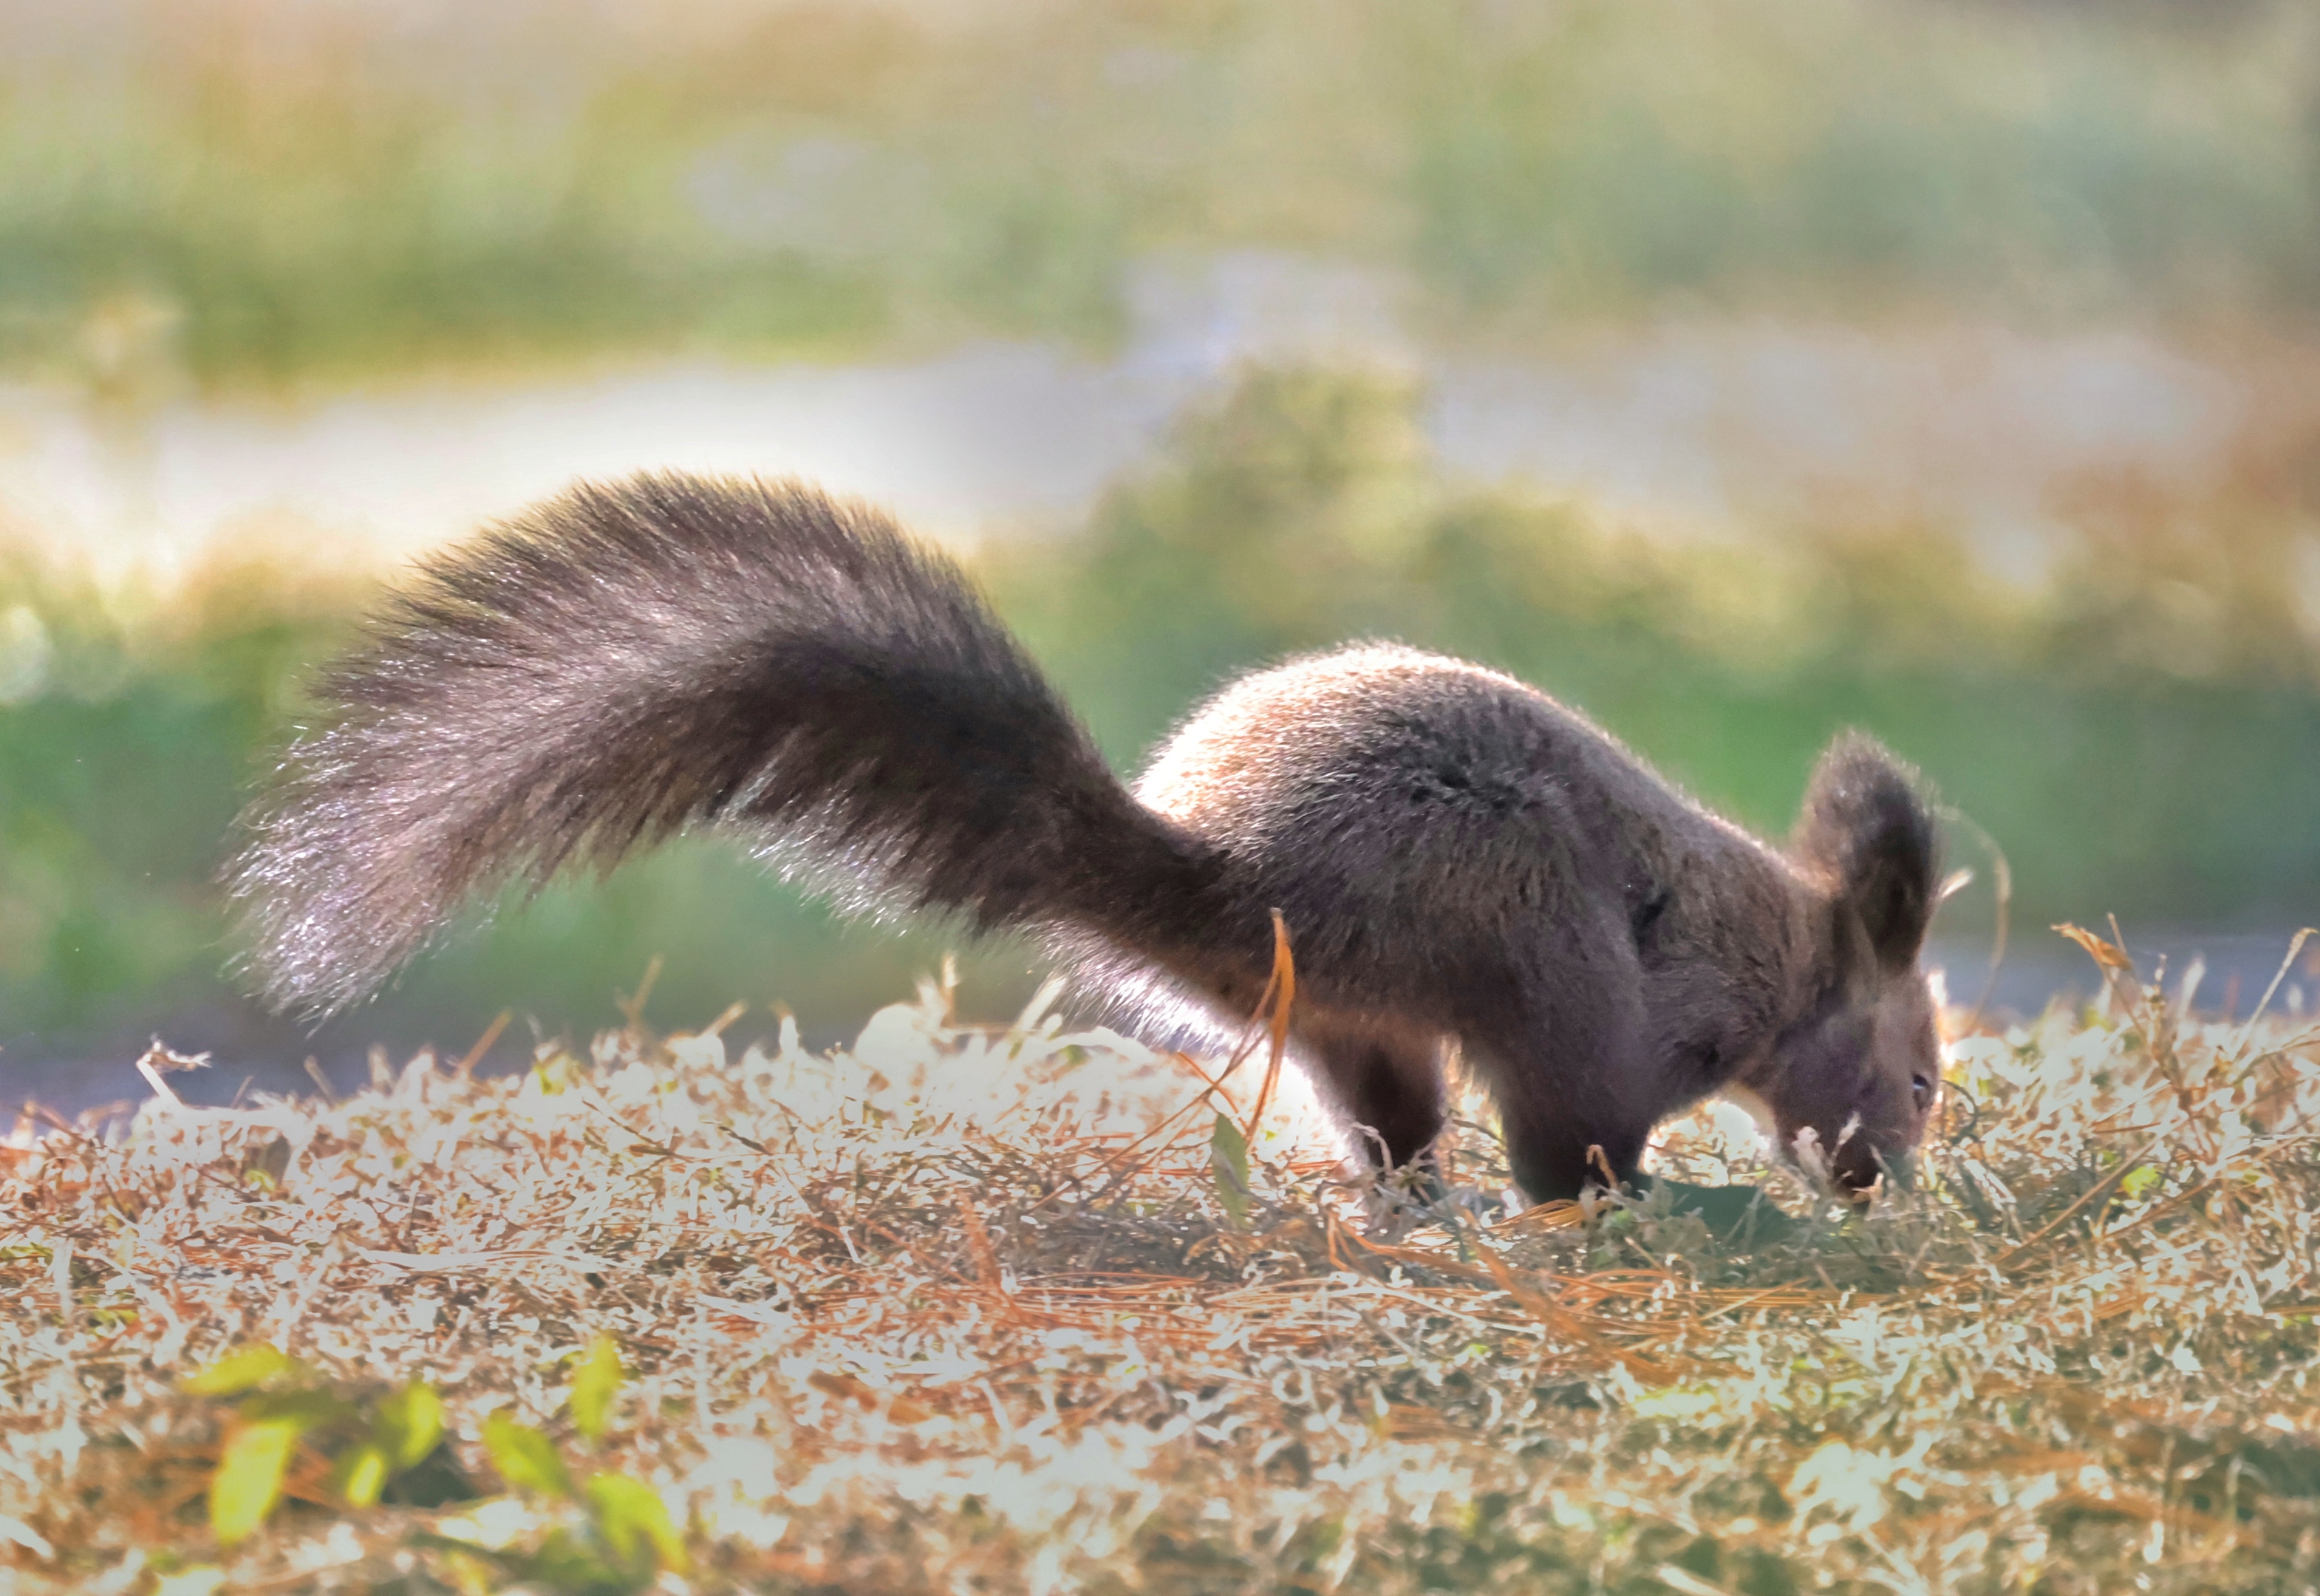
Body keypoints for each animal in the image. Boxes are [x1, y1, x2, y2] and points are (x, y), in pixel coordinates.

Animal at [231, 471, 1939, 1197]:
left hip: (1350, 1012)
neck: (1783, 965)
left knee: (1390, 1127)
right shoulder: (1645, 1022)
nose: (1890, 1179)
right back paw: (1596, 1207)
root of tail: (1239, 882)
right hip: (1520, 943)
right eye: (1919, 1074)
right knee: (1540, 1138)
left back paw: (1408, 1204)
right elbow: (1592, 1123)